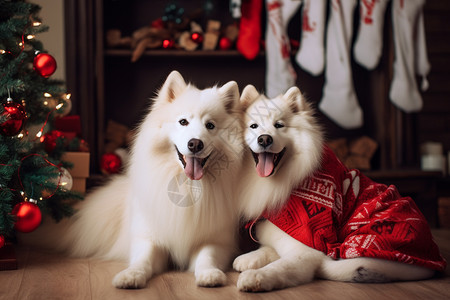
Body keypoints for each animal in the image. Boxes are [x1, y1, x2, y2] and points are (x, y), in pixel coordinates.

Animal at [27, 71, 246, 288]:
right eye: (183, 122)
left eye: (210, 126)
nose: (195, 144)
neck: (188, 186)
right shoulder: (148, 237)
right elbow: (143, 259)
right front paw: (131, 275)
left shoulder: (216, 240)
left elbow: (207, 257)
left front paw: (209, 274)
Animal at [234, 85, 444, 292]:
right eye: (253, 126)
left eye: (279, 125)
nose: (264, 139)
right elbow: (268, 249)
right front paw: (248, 258)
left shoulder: (308, 247)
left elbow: (279, 267)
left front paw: (255, 277)